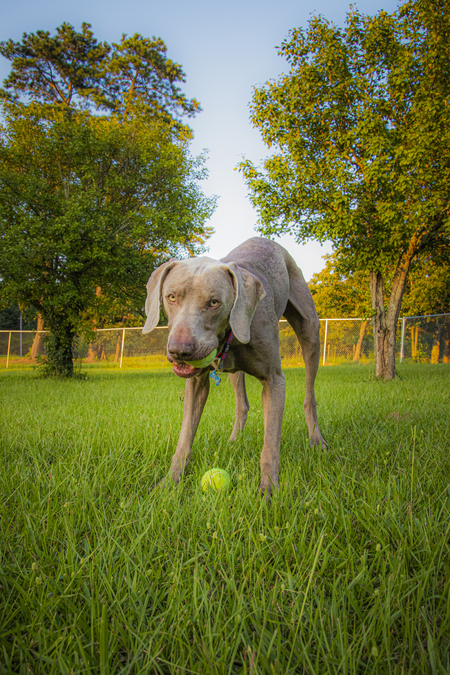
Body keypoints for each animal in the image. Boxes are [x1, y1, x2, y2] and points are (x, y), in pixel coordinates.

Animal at [142, 238, 326, 496]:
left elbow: (270, 443)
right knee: (242, 403)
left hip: (309, 327)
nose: (180, 350)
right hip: (233, 370)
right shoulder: (196, 382)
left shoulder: (274, 380)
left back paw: (316, 439)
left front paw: (268, 488)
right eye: (171, 297)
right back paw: (234, 439)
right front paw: (169, 483)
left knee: (310, 395)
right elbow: (185, 436)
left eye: (214, 302)